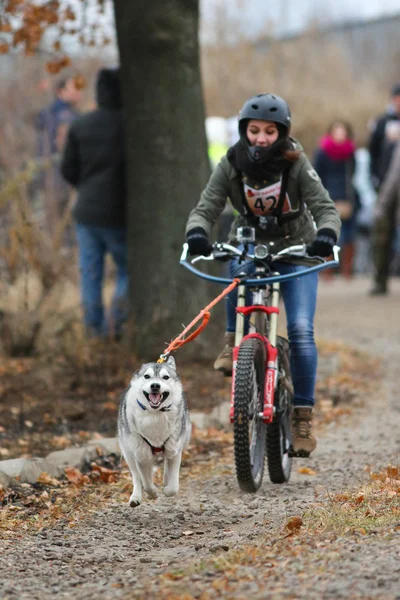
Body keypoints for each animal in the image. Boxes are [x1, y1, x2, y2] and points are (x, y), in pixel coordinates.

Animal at [118, 356, 191, 506]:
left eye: (165, 377)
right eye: (147, 376)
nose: (155, 386)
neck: (155, 414)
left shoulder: (175, 450)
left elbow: (174, 487)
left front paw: (166, 490)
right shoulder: (140, 455)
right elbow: (146, 482)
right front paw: (152, 494)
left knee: (167, 463)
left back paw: (165, 479)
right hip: (128, 453)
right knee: (136, 476)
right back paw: (136, 497)